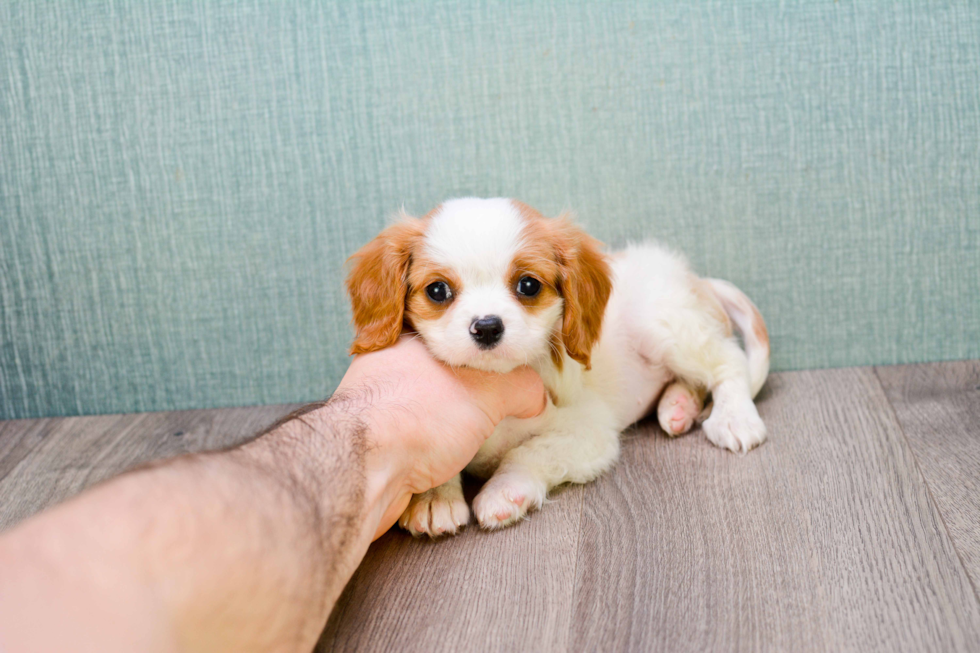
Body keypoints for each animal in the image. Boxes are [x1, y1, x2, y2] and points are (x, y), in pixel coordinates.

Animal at [344, 197, 764, 536]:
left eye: (528, 285)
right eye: (437, 290)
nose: (487, 326)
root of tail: (693, 279)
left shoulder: (590, 432)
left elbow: (527, 452)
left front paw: (504, 491)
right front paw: (434, 497)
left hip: (663, 325)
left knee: (728, 363)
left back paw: (734, 418)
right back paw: (678, 406)